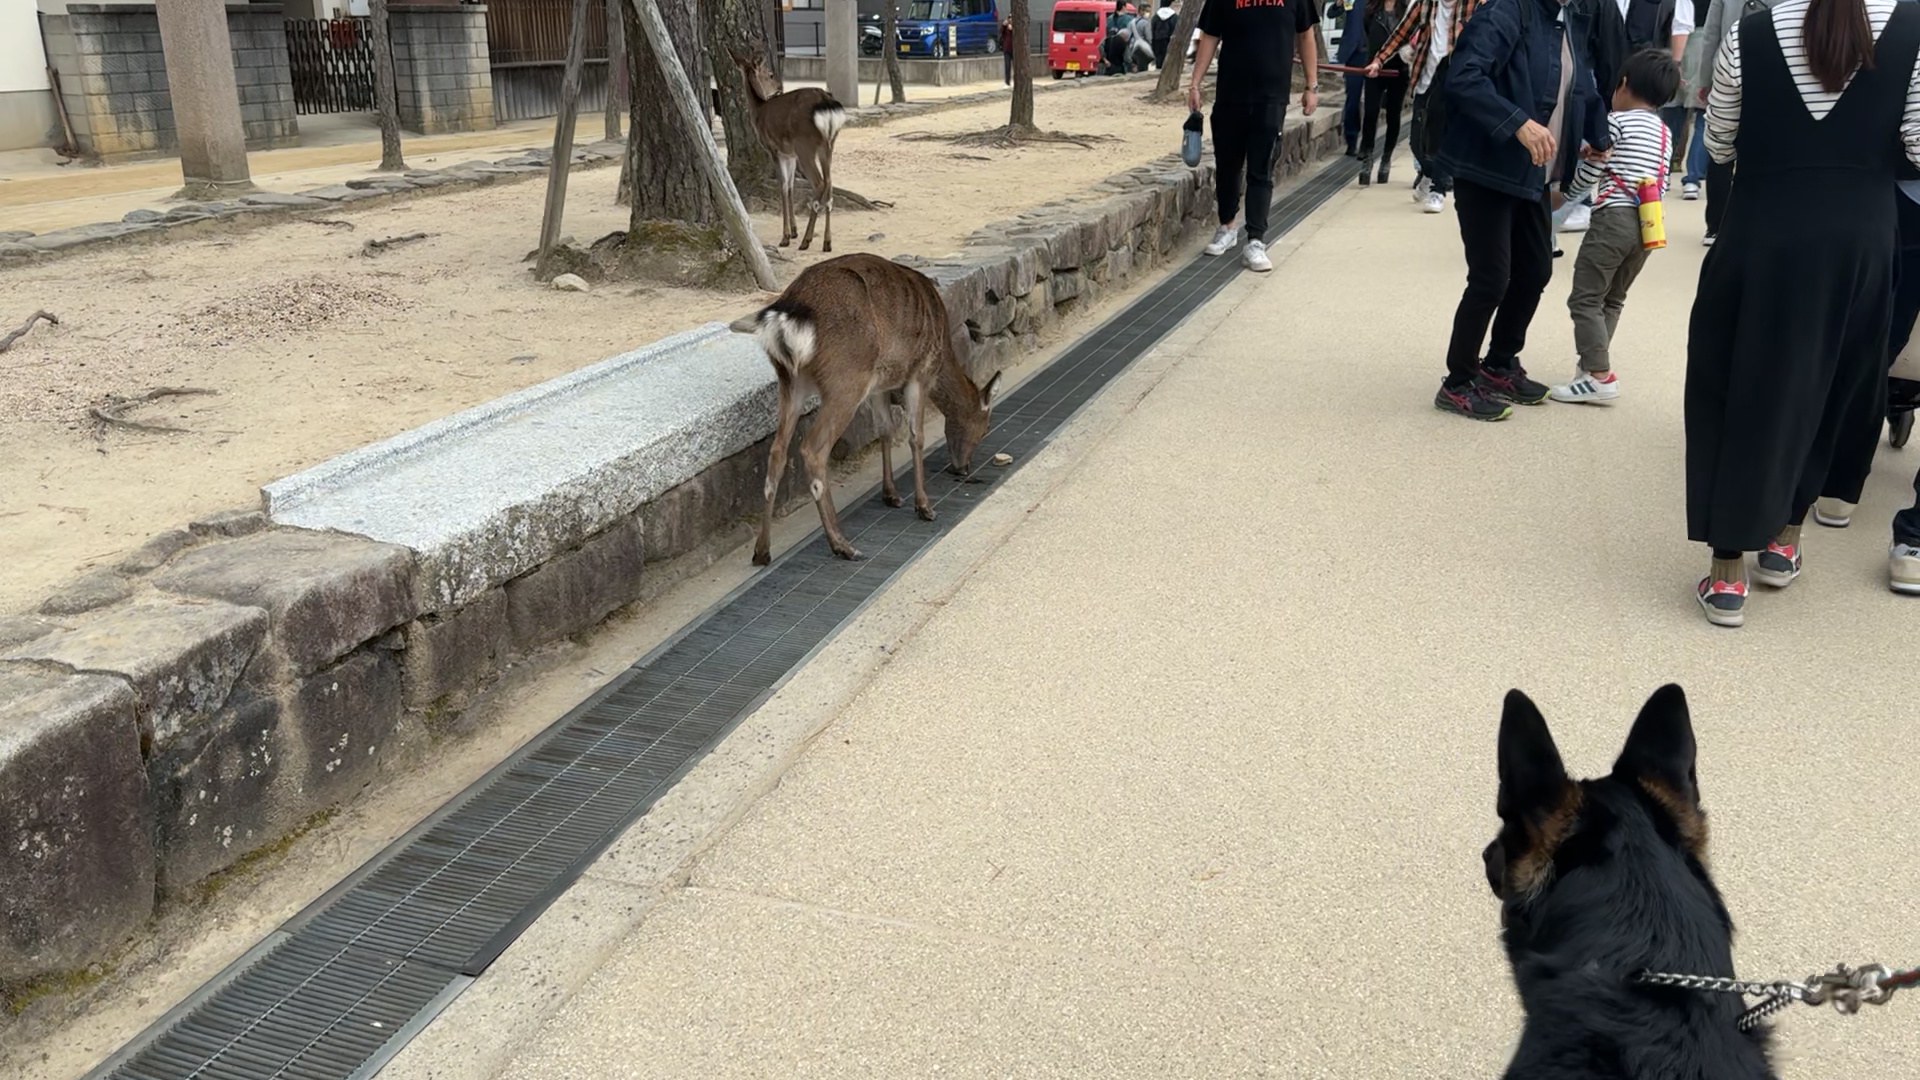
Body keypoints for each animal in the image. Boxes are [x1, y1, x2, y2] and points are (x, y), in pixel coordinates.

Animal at [727, 43, 848, 254]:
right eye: (770, 74)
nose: (778, 87)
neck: (758, 112)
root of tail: (827, 105)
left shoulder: (775, 150)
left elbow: (783, 186)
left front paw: (785, 237)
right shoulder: (790, 155)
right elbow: (791, 186)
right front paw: (793, 231)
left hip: (805, 145)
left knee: (820, 183)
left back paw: (806, 240)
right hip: (828, 146)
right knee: (830, 184)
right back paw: (827, 242)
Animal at [730, 253, 1003, 565]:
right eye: (985, 427)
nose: (963, 468)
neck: (943, 352)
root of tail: (785, 316)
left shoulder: (880, 385)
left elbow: (885, 430)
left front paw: (891, 495)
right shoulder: (919, 373)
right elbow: (915, 436)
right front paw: (924, 506)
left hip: (790, 381)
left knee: (777, 451)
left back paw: (762, 551)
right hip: (846, 379)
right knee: (812, 449)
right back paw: (842, 545)